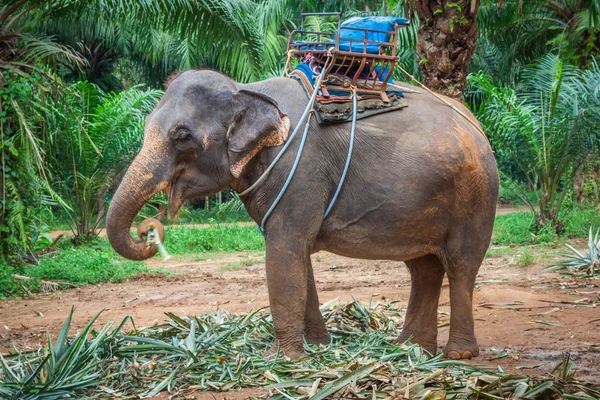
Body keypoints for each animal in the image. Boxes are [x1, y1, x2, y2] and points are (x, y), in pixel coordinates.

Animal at [105, 69, 500, 360]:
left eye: (182, 136)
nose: (149, 231)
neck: (248, 90)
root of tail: (478, 126)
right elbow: (297, 256)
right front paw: (318, 346)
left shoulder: (300, 171)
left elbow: (285, 251)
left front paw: (280, 360)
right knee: (425, 267)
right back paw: (410, 349)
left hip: (475, 196)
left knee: (460, 265)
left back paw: (457, 355)